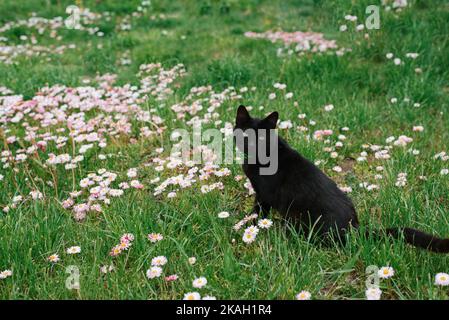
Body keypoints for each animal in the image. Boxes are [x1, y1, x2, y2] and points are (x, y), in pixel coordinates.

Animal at [233, 105, 448, 252]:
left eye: (261, 138)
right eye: (245, 134)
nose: (250, 144)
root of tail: (354, 227)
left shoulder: (264, 196)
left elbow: (257, 213)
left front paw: (249, 226)